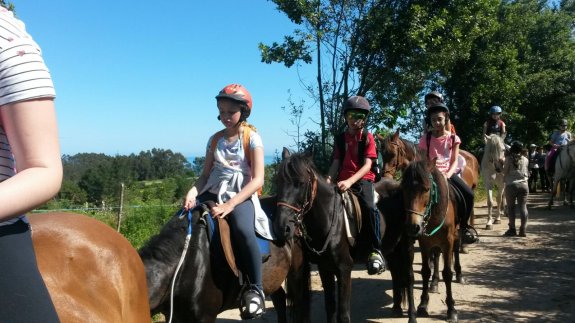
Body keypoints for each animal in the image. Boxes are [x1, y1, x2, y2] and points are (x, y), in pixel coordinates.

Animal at [272, 149, 416, 323]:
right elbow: (330, 307)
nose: (281, 227)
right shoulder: (324, 268)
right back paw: (396, 308)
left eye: (300, 183)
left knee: (409, 277)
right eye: (278, 182)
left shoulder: (344, 269)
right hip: (391, 246)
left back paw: (412, 317)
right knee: (396, 271)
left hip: (406, 244)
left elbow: (343, 313)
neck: (329, 219)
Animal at [402, 161, 466, 322]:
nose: (413, 226)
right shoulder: (425, 243)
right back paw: (435, 282)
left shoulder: (448, 242)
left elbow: (448, 273)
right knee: (436, 255)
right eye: (404, 188)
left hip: (456, 235)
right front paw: (423, 305)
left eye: (426, 189)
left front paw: (451, 309)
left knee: (456, 249)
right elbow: (425, 271)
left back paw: (459, 275)